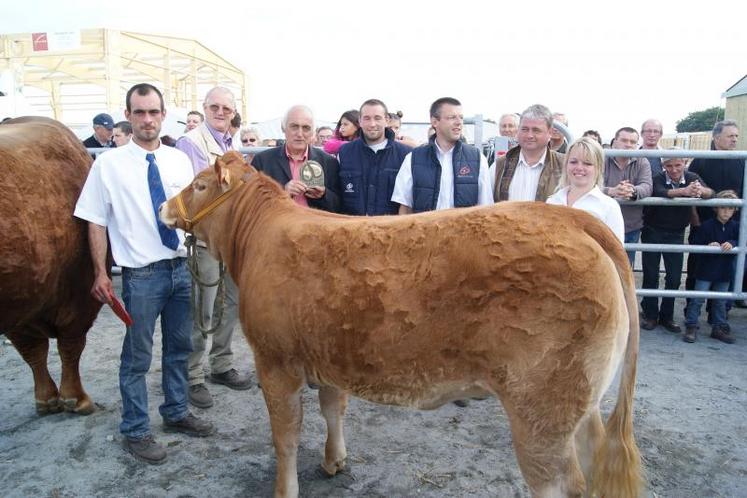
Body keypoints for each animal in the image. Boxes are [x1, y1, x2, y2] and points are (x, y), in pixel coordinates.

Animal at [0, 115, 106, 412]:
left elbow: (37, 350)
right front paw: (74, 397)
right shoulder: (82, 293)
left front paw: (52, 397)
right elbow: (67, 345)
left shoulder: (22, 301)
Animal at [162, 153, 644, 498]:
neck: (259, 236)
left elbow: (285, 437)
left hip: (542, 411)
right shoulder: (328, 353)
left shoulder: (275, 361)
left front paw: (286, 489)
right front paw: (334, 461)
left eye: (200, 185)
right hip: (579, 402)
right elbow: (332, 409)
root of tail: (569, 218)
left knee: (563, 481)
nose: (165, 207)